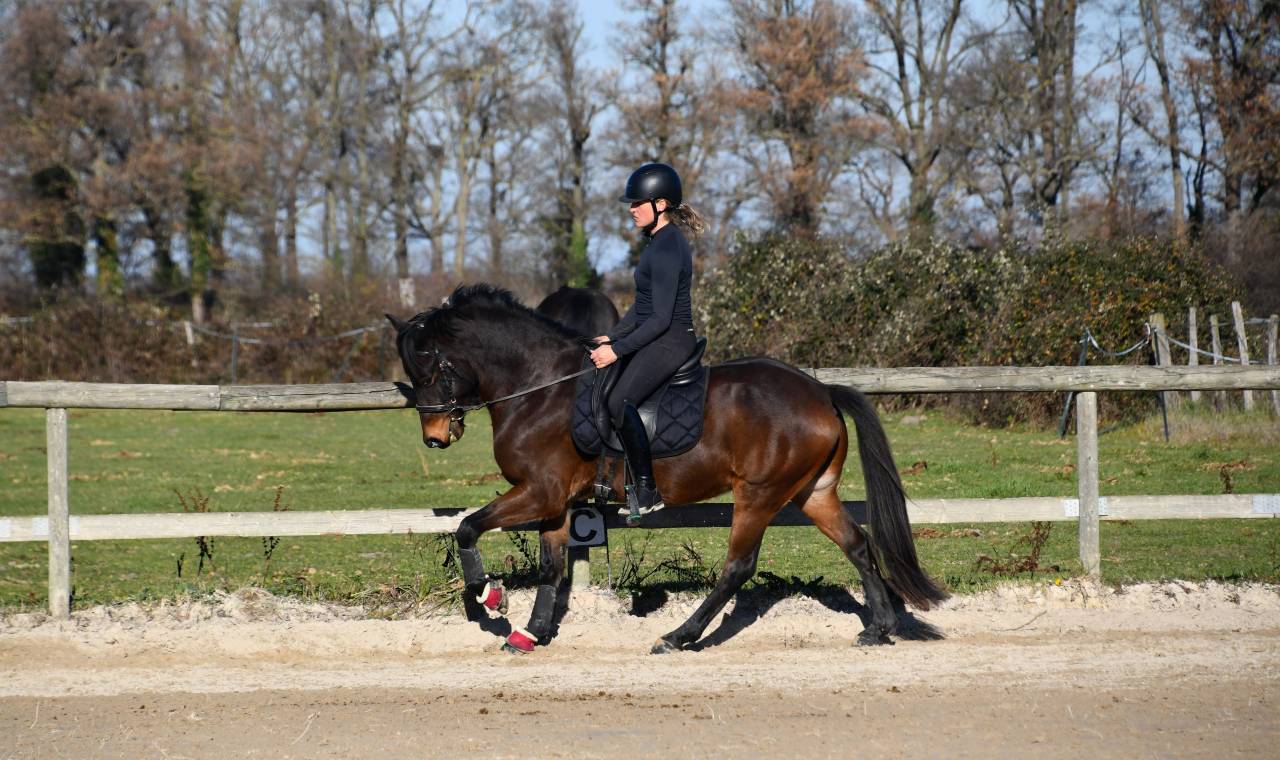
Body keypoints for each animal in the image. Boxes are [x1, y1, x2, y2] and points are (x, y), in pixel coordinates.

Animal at [387, 283, 947, 654]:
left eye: (431, 365)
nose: (435, 436)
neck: (541, 389)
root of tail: (821, 391)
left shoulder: (539, 491)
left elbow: (467, 527)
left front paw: (491, 597)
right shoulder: (555, 500)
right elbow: (550, 566)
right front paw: (533, 633)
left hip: (759, 494)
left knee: (737, 568)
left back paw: (679, 636)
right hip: (813, 492)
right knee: (858, 545)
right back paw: (878, 628)